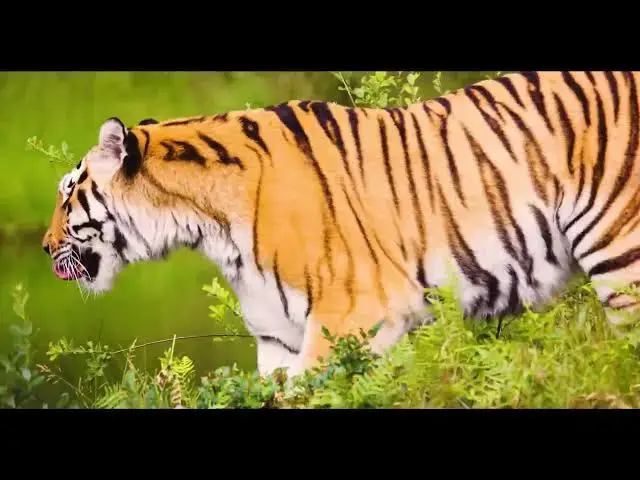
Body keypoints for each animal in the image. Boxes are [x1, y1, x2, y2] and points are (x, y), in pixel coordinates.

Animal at [41, 71, 640, 379]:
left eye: (67, 194)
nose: (45, 247)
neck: (206, 226)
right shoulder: (277, 339)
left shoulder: (353, 317)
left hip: (620, 253)